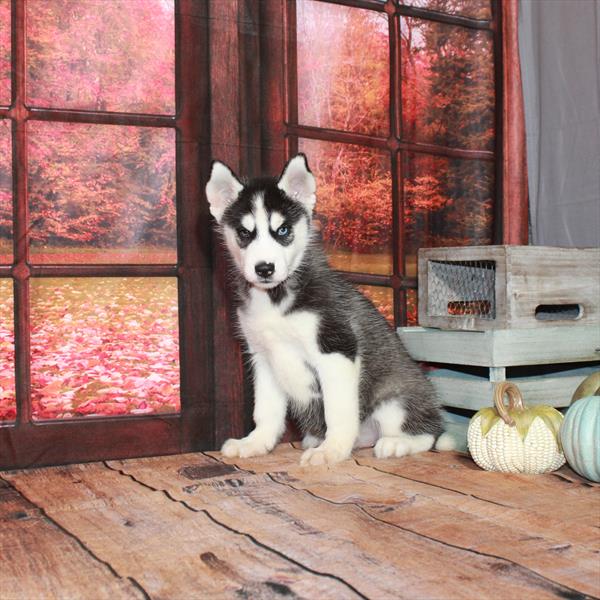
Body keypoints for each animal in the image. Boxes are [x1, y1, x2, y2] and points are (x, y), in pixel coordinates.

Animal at [204, 152, 452, 466]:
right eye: (245, 233)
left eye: (282, 230)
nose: (264, 268)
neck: (276, 299)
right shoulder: (262, 358)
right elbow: (265, 412)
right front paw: (256, 443)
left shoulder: (336, 347)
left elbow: (338, 411)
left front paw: (332, 450)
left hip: (395, 401)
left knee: (426, 433)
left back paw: (397, 443)